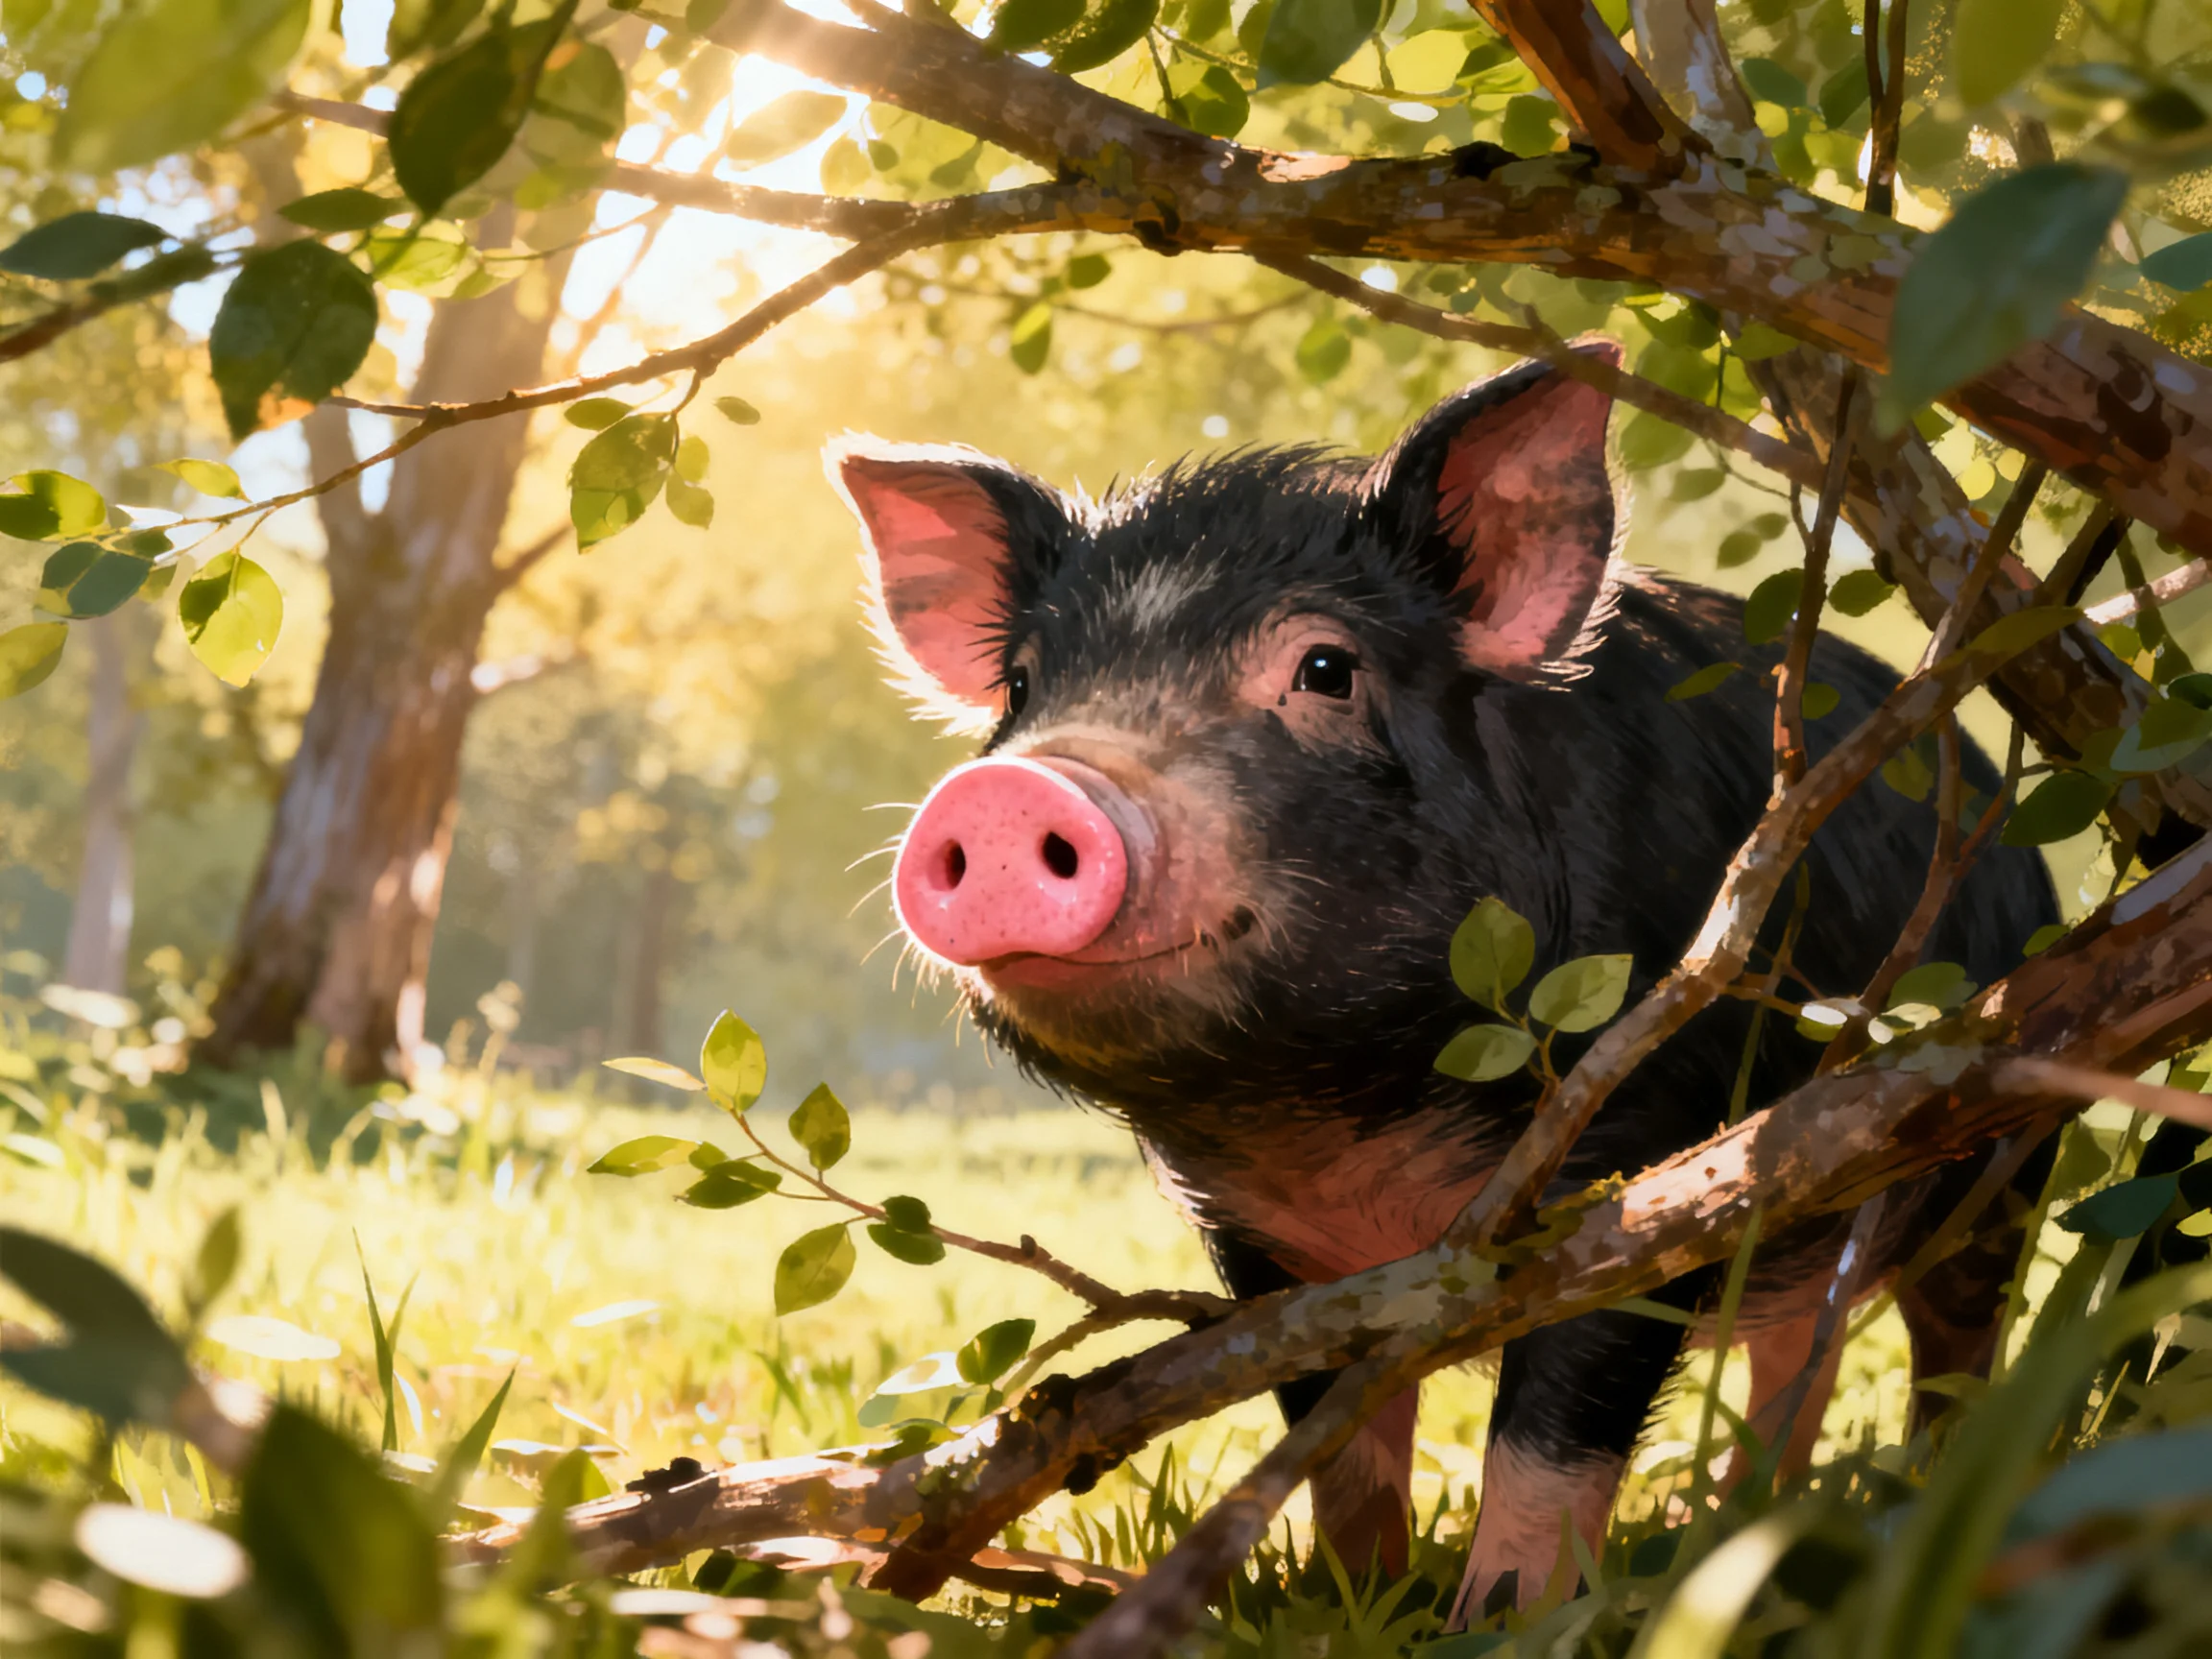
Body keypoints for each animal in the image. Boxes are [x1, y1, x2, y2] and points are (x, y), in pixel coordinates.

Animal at [828, 353, 2058, 1616]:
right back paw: (1743, 1522)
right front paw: (1351, 1600)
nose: (1016, 788)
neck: (1342, 1116)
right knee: (1800, 1342)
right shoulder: (1260, 1247)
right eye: (1024, 688)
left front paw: (1502, 1620)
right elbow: (1334, 1437)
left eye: (1325, 669)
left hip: (2004, 1134)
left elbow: (1555, 1435)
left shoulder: (1641, 1150)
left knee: (1955, 1335)